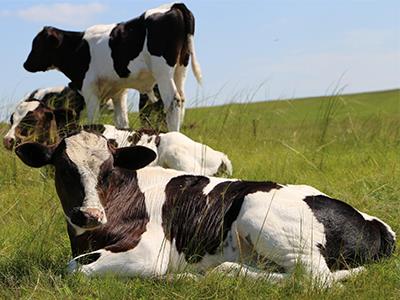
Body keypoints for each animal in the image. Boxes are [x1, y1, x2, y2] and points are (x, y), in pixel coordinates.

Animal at [14, 131, 396, 286]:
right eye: (63, 168)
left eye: (109, 170)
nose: (89, 215)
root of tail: (374, 222)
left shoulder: (148, 252)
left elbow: (72, 270)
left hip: (259, 210)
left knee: (316, 280)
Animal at [23, 2, 202, 131]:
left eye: (36, 44)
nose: (25, 64)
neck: (78, 47)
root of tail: (174, 5)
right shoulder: (118, 92)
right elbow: (122, 122)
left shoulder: (89, 89)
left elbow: (93, 119)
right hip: (180, 69)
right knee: (182, 100)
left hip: (163, 72)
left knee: (172, 101)